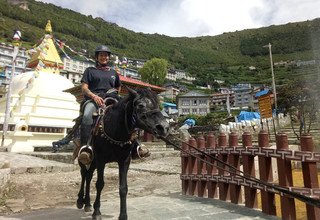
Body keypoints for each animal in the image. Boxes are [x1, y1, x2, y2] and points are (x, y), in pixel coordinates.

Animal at [76, 87, 170, 220]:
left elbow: (123, 188)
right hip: (86, 157)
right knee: (84, 174)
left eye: (157, 105)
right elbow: (100, 184)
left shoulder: (124, 161)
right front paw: (97, 212)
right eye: (140, 105)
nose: (164, 128)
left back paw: (88, 203)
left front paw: (123, 215)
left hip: (93, 161)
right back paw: (80, 201)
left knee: (89, 176)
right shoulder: (101, 160)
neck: (114, 129)